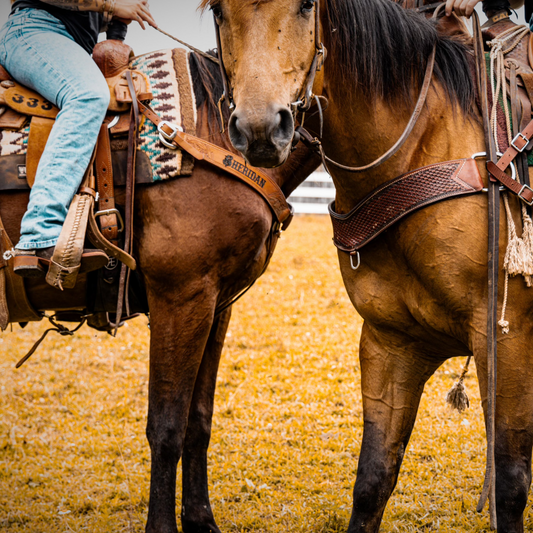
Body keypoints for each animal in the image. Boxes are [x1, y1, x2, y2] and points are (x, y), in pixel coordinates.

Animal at [0, 53, 320, 532]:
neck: (215, 135)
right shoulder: (181, 297)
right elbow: (167, 425)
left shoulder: (215, 304)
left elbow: (197, 420)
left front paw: (201, 520)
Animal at [205, 0, 533, 528]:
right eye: (218, 10)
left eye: (305, 6)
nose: (259, 129)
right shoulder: (391, 343)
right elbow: (373, 478)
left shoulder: (507, 338)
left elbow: (509, 485)